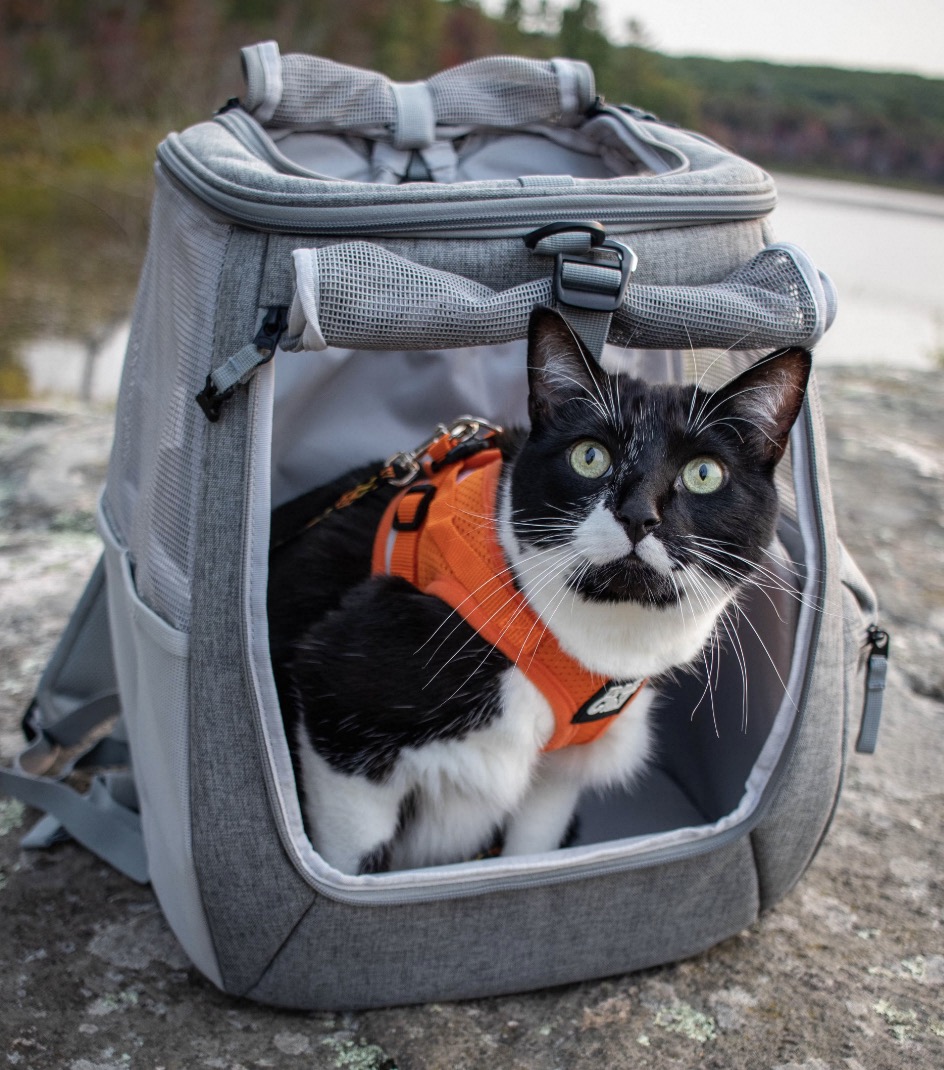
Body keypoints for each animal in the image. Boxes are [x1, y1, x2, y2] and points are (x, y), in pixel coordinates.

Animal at [266, 306, 809, 873]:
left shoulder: (561, 772)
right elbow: (347, 861)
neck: (599, 639)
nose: (639, 515)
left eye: (704, 473)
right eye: (589, 457)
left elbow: (531, 849)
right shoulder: (340, 698)